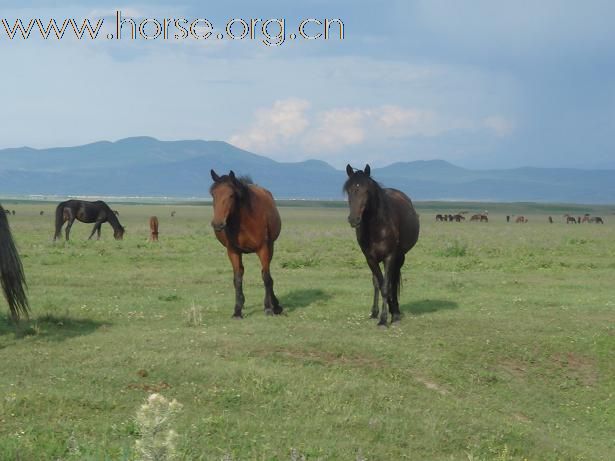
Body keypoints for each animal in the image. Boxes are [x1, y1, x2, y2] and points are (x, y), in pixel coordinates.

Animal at [209, 169, 282, 316]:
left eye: (231, 195)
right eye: (213, 194)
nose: (218, 224)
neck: (245, 221)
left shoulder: (263, 249)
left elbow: (266, 277)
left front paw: (268, 308)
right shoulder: (233, 251)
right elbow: (237, 278)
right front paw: (237, 310)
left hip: (270, 247)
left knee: (268, 275)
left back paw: (275, 305)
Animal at [344, 164, 422, 326]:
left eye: (366, 190)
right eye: (348, 190)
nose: (353, 219)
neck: (377, 226)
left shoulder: (390, 257)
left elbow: (386, 286)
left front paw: (385, 319)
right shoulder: (370, 259)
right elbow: (379, 284)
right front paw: (379, 314)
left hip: (400, 257)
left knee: (393, 281)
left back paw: (395, 311)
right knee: (378, 282)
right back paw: (380, 311)